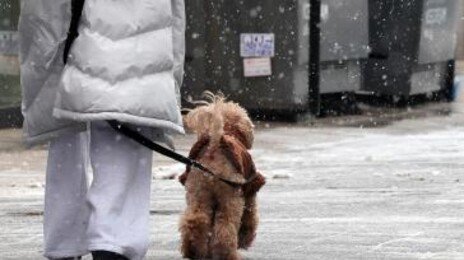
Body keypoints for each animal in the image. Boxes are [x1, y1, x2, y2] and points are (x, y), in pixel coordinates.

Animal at [178, 95, 264, 260]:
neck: (229, 131)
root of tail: (215, 145)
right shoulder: (249, 190)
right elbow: (249, 217)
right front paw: (245, 239)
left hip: (198, 191)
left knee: (196, 220)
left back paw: (192, 249)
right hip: (230, 198)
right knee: (225, 229)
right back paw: (227, 254)